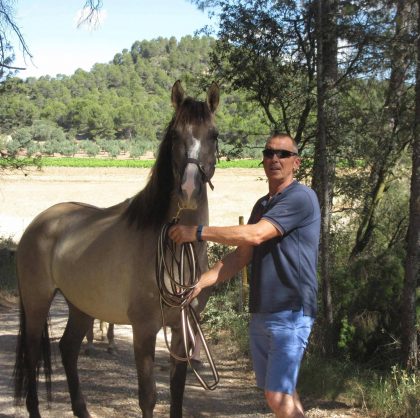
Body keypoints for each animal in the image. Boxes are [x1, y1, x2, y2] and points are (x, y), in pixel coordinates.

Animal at [13, 79, 220, 418]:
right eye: (175, 135)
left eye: (213, 135)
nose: (188, 190)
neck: (173, 247)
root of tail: (41, 221)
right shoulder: (144, 330)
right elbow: (148, 396)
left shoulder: (183, 330)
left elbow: (177, 391)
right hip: (36, 301)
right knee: (32, 354)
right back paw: (34, 409)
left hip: (81, 305)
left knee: (68, 349)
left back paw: (82, 410)